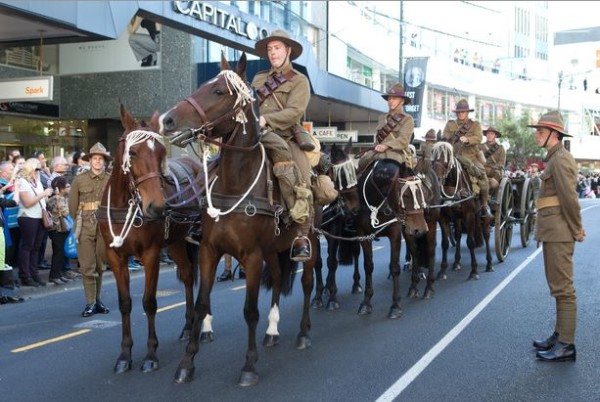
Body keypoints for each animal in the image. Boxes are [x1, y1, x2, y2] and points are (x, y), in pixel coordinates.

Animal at [99, 106, 207, 374]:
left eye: (161, 152)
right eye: (133, 152)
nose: (157, 206)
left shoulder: (151, 254)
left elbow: (149, 302)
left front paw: (150, 354)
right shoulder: (115, 257)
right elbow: (125, 303)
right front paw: (125, 354)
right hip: (177, 242)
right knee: (187, 275)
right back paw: (188, 326)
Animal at [159, 51, 318, 384]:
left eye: (219, 91)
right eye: (202, 85)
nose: (167, 119)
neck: (236, 183)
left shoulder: (251, 256)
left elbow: (249, 311)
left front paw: (249, 366)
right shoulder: (209, 251)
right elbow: (201, 304)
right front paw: (187, 363)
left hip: (308, 242)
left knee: (308, 282)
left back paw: (303, 333)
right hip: (273, 249)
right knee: (279, 278)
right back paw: (272, 331)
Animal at [432, 143, 492, 282]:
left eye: (446, 160)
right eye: (433, 159)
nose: (437, 180)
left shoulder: (469, 215)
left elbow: (470, 242)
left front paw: (474, 271)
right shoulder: (443, 218)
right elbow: (445, 243)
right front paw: (442, 270)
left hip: (482, 216)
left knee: (486, 235)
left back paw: (489, 263)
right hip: (458, 218)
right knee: (458, 234)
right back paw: (456, 263)